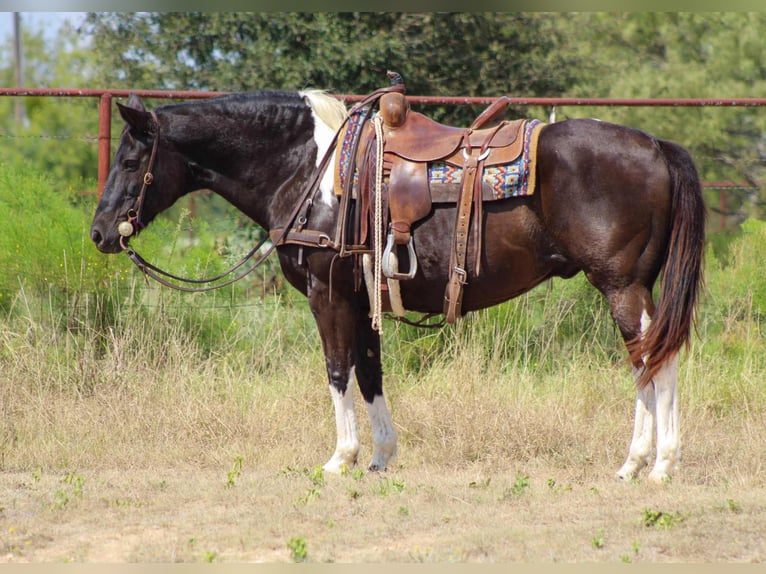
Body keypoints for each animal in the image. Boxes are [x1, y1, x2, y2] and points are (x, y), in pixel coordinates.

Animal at [90, 86, 705, 483]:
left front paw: (340, 458)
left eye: (131, 160)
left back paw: (655, 463)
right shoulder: (362, 298)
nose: (99, 232)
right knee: (650, 356)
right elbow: (370, 372)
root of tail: (656, 145)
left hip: (621, 286)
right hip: (634, 285)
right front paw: (380, 455)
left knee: (654, 359)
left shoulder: (327, 295)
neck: (309, 169)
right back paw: (642, 463)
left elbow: (338, 370)